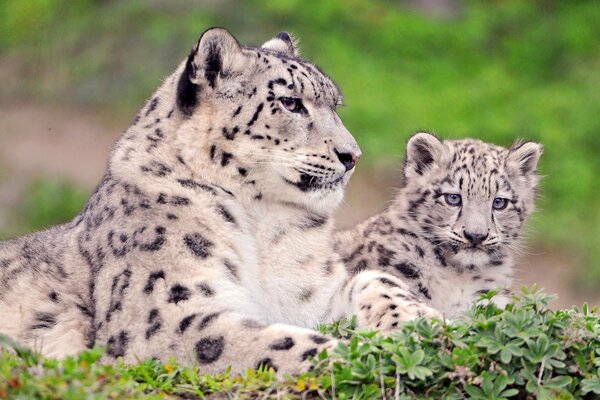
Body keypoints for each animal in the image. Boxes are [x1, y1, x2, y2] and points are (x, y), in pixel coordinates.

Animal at [0, 28, 432, 376]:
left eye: (334, 105)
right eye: (291, 102)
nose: (352, 155)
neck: (264, 226)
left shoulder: (309, 294)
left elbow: (374, 279)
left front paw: (423, 323)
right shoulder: (165, 315)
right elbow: (274, 343)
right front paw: (371, 358)